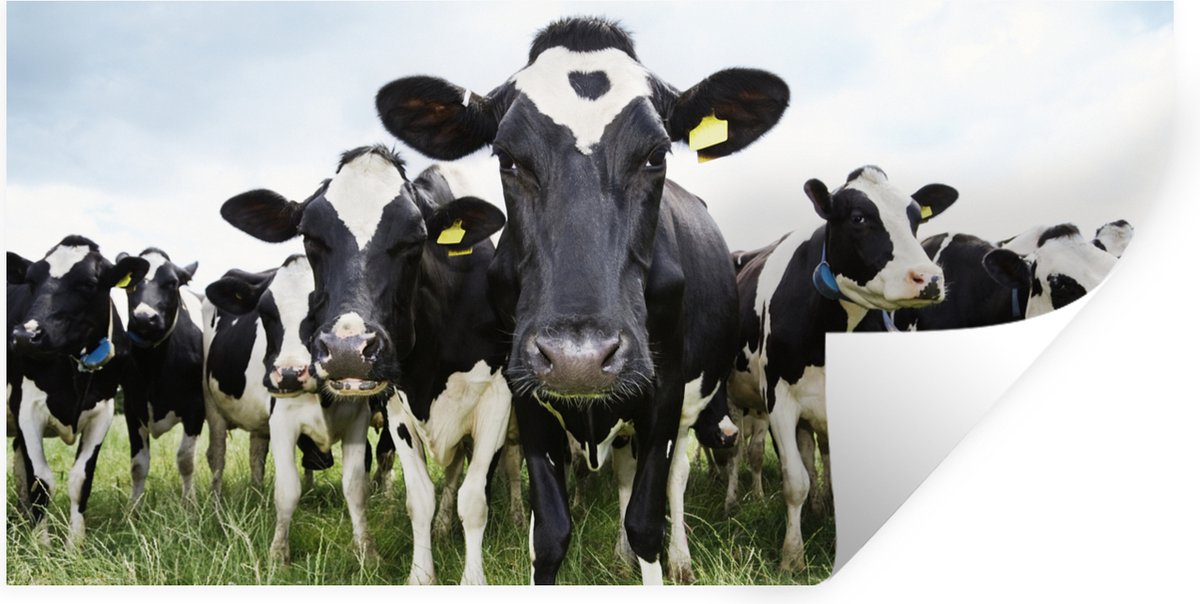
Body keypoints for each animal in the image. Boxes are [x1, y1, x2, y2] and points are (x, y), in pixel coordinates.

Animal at [7, 236, 149, 546]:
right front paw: (42, 545)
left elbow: (80, 480)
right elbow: (41, 481)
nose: (24, 335)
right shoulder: (25, 408)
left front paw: (75, 544)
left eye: (88, 283)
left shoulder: (103, 411)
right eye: (31, 281)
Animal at [117, 248, 205, 506]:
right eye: (130, 282)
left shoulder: (196, 407)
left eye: (173, 283)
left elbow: (185, 459)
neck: (153, 367)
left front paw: (189, 504)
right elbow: (138, 465)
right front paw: (133, 507)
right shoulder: (132, 407)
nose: (144, 318)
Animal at [203, 254, 376, 563]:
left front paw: (366, 552)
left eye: (322, 304)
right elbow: (287, 490)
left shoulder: (358, 418)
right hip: (213, 406)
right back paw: (216, 506)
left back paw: (258, 497)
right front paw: (278, 554)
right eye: (265, 312)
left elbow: (356, 487)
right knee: (217, 456)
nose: (289, 374)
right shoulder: (283, 421)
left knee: (256, 454)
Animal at [373, 16, 789, 584]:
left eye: (656, 155)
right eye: (508, 158)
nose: (580, 359)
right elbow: (548, 533)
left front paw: (655, 556)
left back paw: (679, 557)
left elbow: (646, 521)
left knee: (675, 478)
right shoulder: (524, 391)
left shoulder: (665, 391)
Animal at [726, 166, 958, 571]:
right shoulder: (779, 400)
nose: (929, 278)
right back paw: (733, 500)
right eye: (858, 218)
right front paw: (792, 557)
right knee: (738, 450)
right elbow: (794, 481)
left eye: (916, 218)